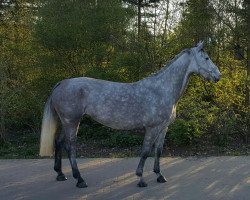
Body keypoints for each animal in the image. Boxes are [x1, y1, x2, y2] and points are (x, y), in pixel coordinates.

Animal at [39, 41, 221, 188]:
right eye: (206, 58)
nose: (218, 76)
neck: (162, 90)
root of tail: (62, 83)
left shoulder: (163, 128)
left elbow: (159, 151)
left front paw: (159, 175)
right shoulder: (152, 128)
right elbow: (146, 151)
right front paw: (141, 179)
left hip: (67, 122)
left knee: (59, 142)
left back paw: (60, 174)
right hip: (72, 122)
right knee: (70, 147)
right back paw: (80, 179)